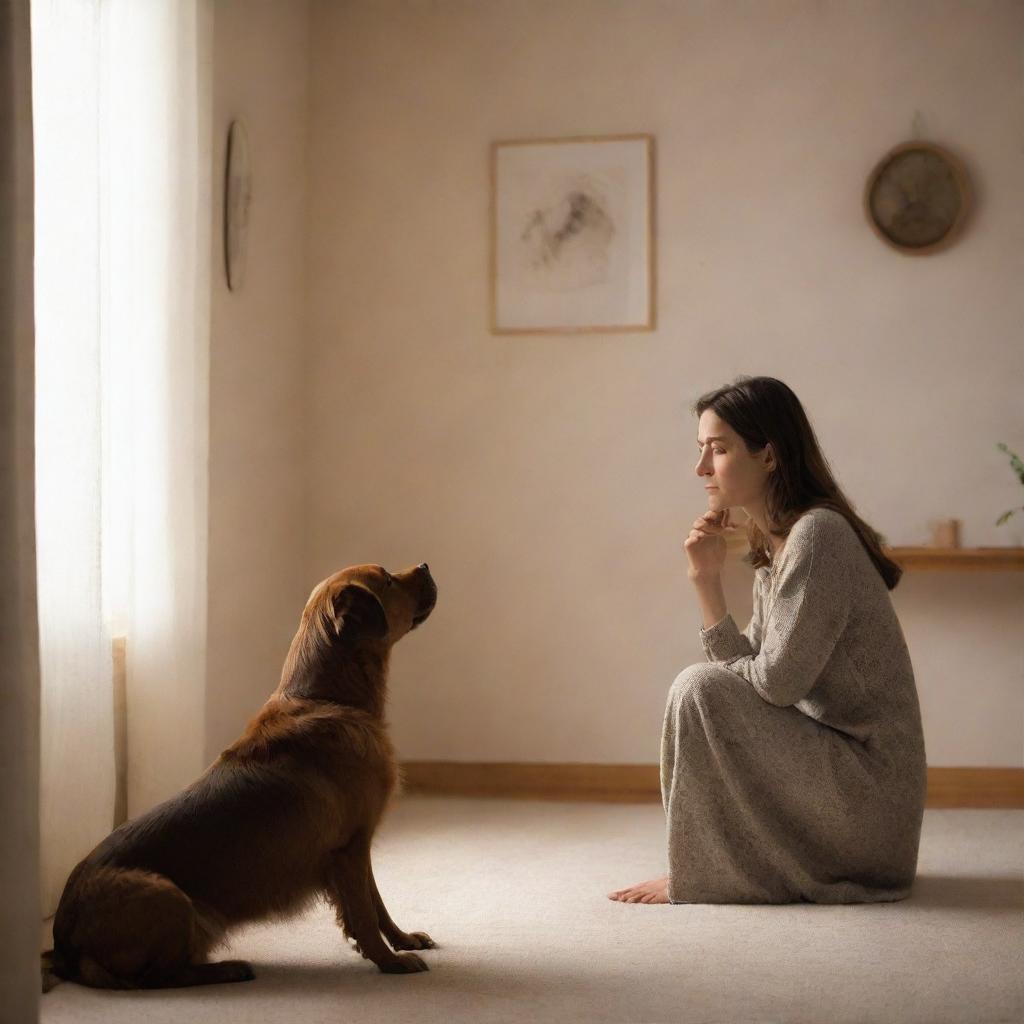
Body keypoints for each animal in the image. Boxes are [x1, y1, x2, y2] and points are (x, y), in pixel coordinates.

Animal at [44, 565, 438, 987]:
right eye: (388, 580)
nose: (424, 566)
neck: (326, 697)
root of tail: (63, 946)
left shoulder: (358, 846)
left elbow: (376, 903)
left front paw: (402, 940)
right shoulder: (350, 846)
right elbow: (363, 913)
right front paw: (389, 961)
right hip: (170, 899)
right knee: (161, 976)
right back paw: (228, 969)